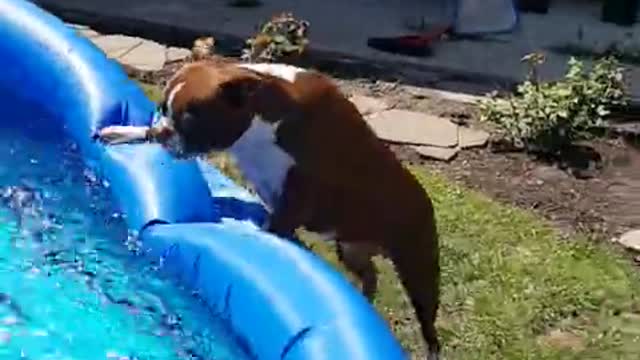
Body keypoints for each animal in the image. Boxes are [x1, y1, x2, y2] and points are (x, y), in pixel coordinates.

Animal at [97, 59, 442, 358]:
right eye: (162, 108)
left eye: (191, 120)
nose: (164, 131)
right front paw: (123, 131)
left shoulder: (297, 198)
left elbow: (274, 228)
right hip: (351, 249)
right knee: (370, 275)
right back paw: (365, 296)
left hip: (419, 267)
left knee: (429, 326)